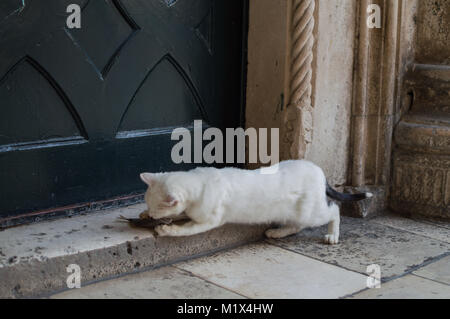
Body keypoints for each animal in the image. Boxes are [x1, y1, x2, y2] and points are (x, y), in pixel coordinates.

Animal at [140, 160, 372, 245]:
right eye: (148, 205)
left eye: (156, 208)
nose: (150, 214)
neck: (198, 181)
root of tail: (319, 171)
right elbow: (182, 214)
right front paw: (142, 215)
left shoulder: (208, 221)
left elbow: (186, 229)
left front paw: (166, 229)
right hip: (295, 213)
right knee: (296, 226)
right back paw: (277, 232)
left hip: (311, 213)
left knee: (334, 211)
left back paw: (333, 235)